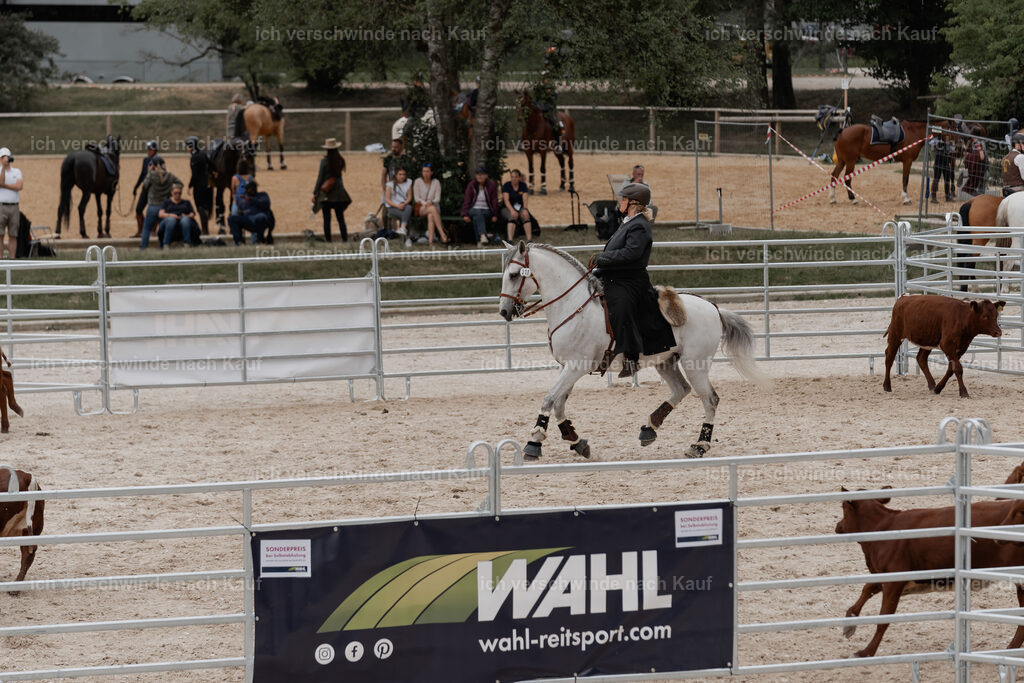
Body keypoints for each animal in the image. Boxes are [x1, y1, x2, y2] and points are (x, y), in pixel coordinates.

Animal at [497, 241, 766, 460]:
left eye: (514, 275)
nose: (504, 311)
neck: (574, 307)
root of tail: (713, 307)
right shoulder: (567, 368)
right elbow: (559, 403)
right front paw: (576, 441)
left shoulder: (576, 367)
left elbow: (549, 399)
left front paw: (534, 443)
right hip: (666, 361)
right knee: (681, 389)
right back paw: (650, 428)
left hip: (695, 365)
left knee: (710, 400)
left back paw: (699, 445)